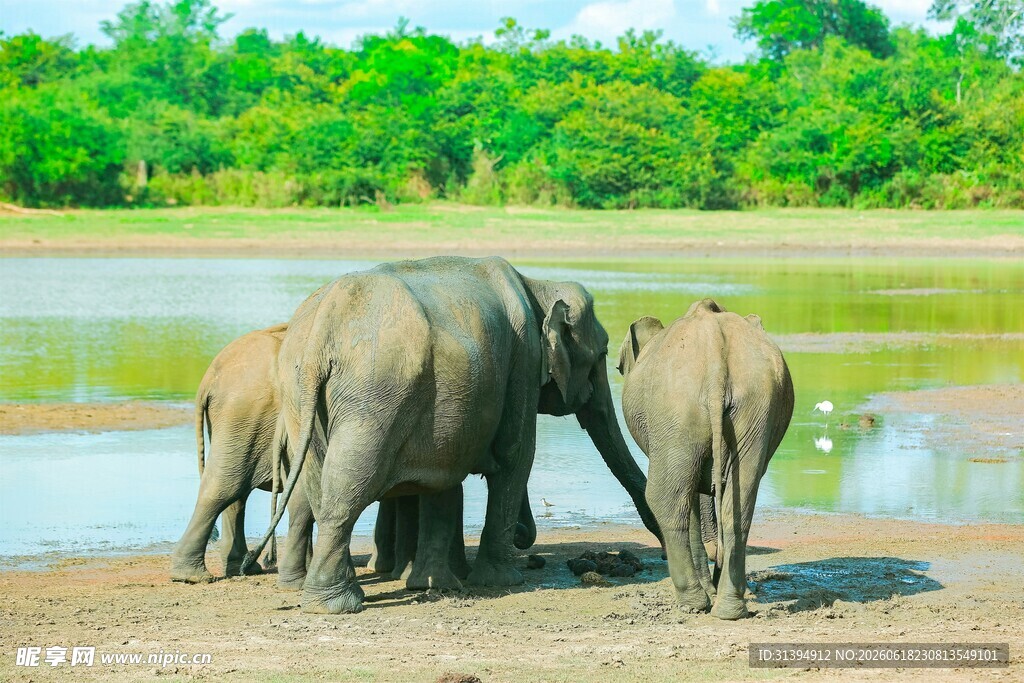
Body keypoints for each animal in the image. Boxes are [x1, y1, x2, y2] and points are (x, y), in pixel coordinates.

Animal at [169, 324, 315, 589]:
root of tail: (209, 376)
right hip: (244, 414)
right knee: (225, 487)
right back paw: (193, 576)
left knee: (236, 491)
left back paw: (242, 568)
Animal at [243, 256, 660, 614]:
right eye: (602, 356)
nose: (656, 539)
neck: (537, 284)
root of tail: (322, 330)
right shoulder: (524, 360)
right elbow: (515, 455)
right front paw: (500, 581)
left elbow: (445, 472)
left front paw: (444, 581)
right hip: (375, 393)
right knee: (348, 483)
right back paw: (337, 604)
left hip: (301, 397)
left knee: (319, 482)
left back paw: (334, 597)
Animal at [616, 298, 794, 620]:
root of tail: (714, 358)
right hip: (754, 406)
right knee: (739, 504)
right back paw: (729, 608)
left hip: (674, 409)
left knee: (668, 498)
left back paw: (693, 601)